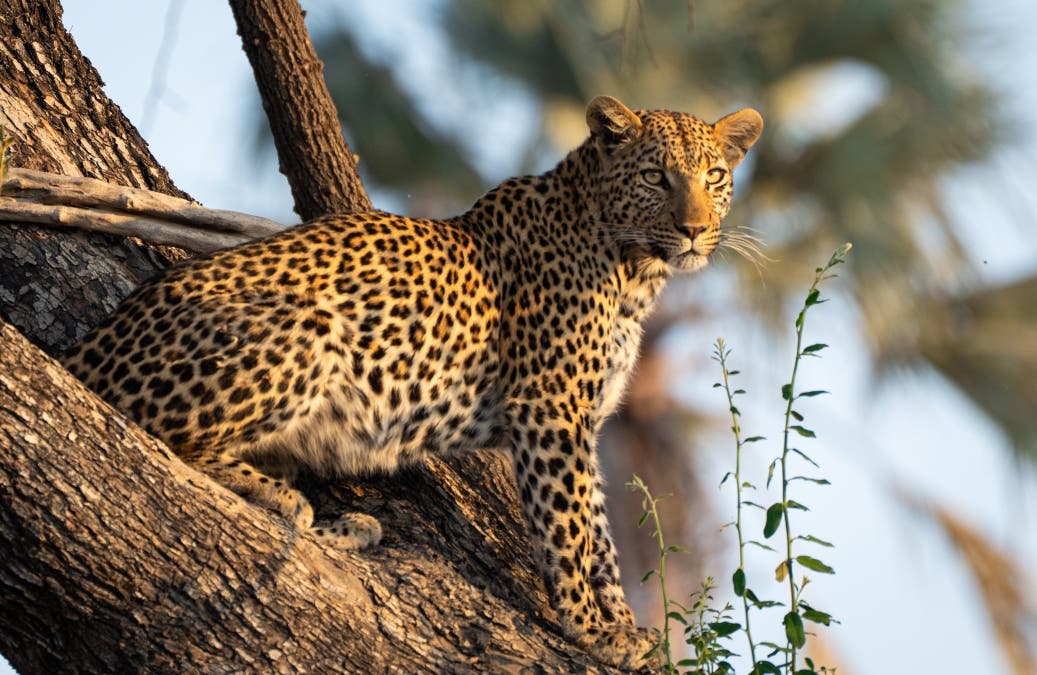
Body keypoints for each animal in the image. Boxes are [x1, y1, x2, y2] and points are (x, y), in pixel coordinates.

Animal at [62, 95, 762, 670]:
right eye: (655, 177)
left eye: (714, 178)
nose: (695, 229)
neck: (635, 270)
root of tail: (84, 346)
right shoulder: (549, 407)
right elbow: (567, 524)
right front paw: (591, 631)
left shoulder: (582, 420)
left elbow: (598, 530)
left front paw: (623, 623)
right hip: (308, 324)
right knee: (162, 439)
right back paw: (283, 500)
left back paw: (346, 527)